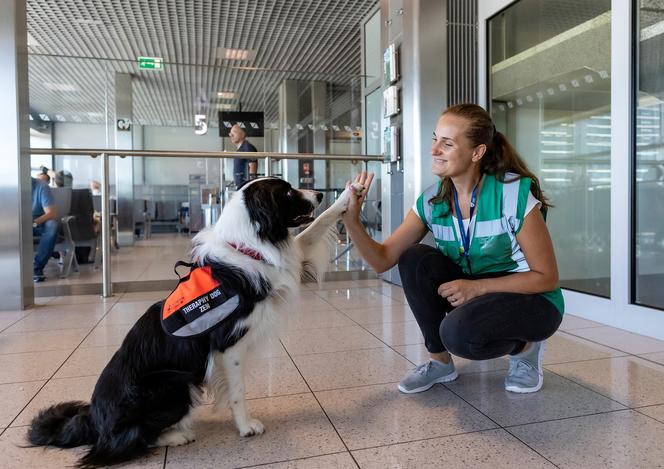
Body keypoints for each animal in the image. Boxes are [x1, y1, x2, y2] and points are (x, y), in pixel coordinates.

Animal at [26, 177, 360, 466]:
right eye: (288, 192)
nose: (319, 193)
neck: (249, 245)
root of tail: (96, 421)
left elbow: (316, 226)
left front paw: (347, 195)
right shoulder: (229, 345)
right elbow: (238, 391)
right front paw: (246, 427)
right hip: (173, 382)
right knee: (123, 444)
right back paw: (176, 436)